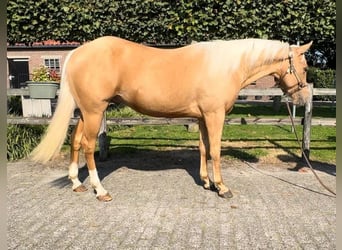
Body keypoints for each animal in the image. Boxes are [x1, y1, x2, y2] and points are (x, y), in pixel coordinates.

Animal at [32, 36, 312, 201]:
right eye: (306, 67)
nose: (304, 97)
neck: (225, 66)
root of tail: (78, 52)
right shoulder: (215, 115)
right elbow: (216, 151)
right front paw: (222, 187)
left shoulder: (202, 117)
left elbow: (203, 148)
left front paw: (207, 182)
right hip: (94, 111)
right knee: (89, 146)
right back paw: (100, 190)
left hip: (84, 111)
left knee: (75, 141)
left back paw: (76, 183)